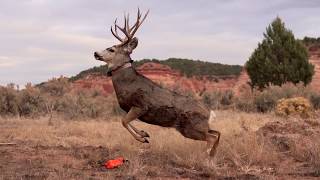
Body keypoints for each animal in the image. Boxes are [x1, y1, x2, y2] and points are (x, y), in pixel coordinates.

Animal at [94, 9, 221, 156]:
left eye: (111, 49)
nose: (95, 53)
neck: (128, 83)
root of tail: (210, 113)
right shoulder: (130, 108)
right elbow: (126, 121)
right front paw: (144, 134)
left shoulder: (140, 106)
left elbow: (123, 121)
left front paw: (142, 139)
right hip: (199, 127)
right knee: (217, 133)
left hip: (192, 127)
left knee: (212, 137)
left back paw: (207, 156)